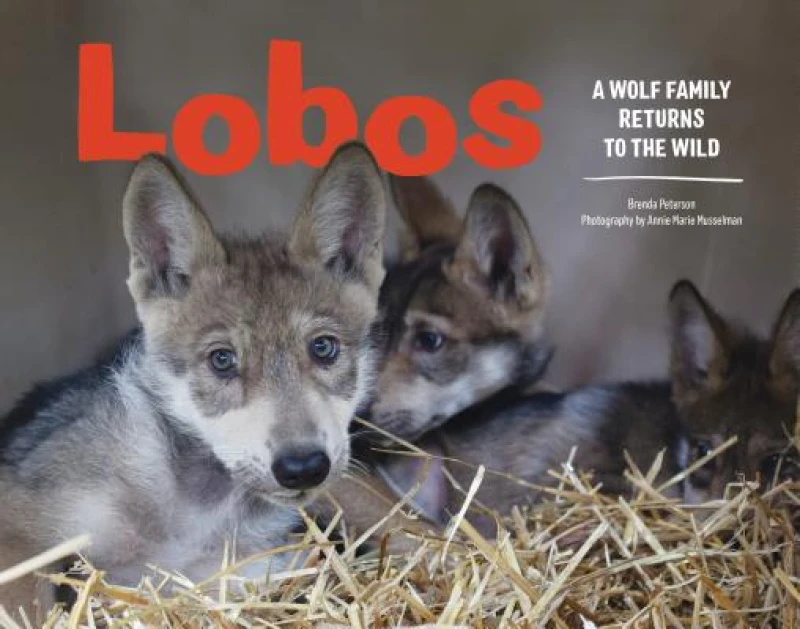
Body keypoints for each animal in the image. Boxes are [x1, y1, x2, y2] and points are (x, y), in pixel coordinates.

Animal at [0, 142, 387, 618]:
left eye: (324, 348)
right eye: (222, 359)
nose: (303, 468)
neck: (196, 517)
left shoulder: (247, 569)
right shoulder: (19, 525)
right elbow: (30, 607)